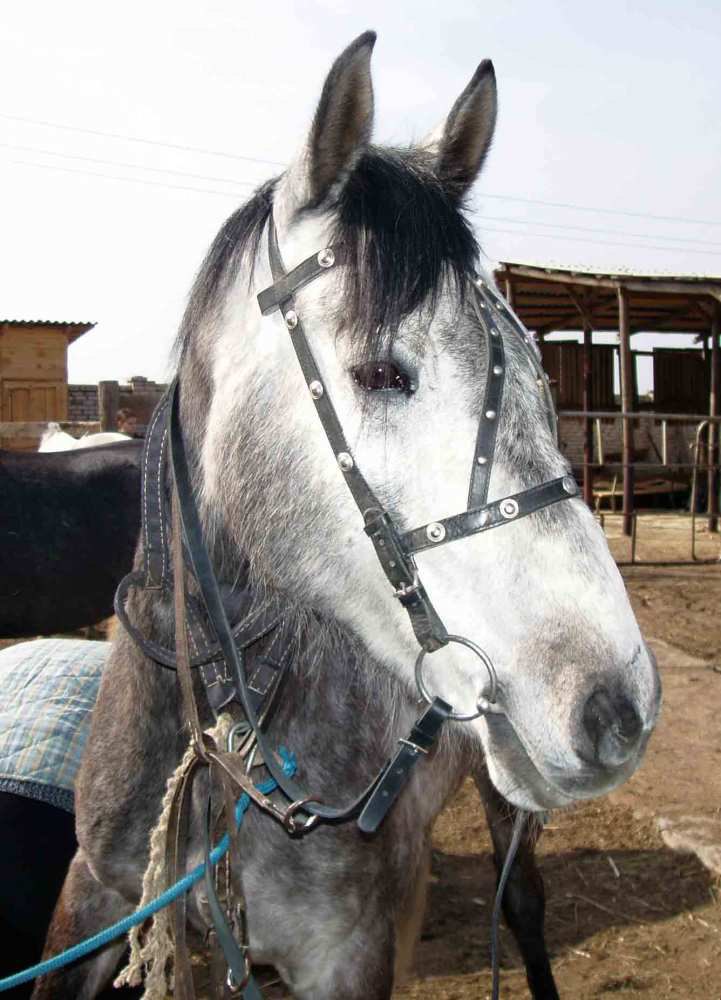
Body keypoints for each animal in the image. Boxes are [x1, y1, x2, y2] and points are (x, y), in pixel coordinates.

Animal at [36, 33, 660, 1000]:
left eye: (536, 369)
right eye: (380, 373)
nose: (618, 707)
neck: (226, 750)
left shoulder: (343, 955)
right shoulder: (94, 899)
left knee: (521, 904)